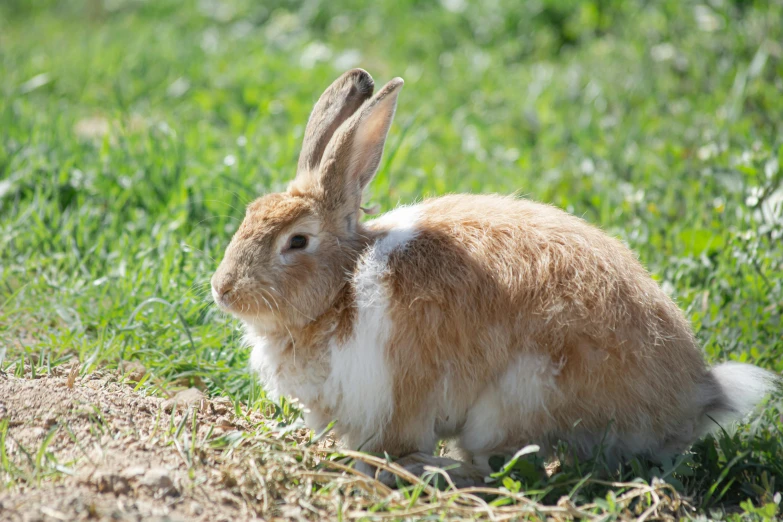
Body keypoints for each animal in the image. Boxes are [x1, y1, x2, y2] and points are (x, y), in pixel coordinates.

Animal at [211, 69, 780, 484]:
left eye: (296, 242)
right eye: (250, 213)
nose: (223, 290)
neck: (343, 286)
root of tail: (699, 398)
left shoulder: (396, 396)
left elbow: (395, 443)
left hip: (516, 398)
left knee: (506, 464)